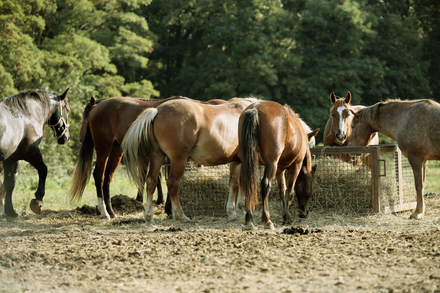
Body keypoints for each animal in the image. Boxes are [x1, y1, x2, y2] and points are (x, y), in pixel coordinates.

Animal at [0, 88, 70, 218]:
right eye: (67, 109)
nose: (66, 137)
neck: (26, 116)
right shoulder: (30, 152)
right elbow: (43, 169)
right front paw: (38, 201)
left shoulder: (9, 160)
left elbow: (8, 184)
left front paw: (10, 211)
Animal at [121, 97, 258, 222]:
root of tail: (158, 110)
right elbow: (241, 183)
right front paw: (239, 209)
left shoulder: (236, 161)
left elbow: (234, 183)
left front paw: (233, 211)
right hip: (178, 160)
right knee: (172, 184)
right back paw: (180, 215)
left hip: (157, 157)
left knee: (151, 182)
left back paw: (149, 217)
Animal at [237, 101, 320, 229]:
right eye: (312, 185)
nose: (304, 213)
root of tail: (255, 108)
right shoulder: (295, 166)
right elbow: (290, 191)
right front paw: (287, 218)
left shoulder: (280, 169)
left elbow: (282, 191)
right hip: (272, 164)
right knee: (266, 185)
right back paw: (267, 220)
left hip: (248, 162)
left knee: (248, 184)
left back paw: (249, 220)